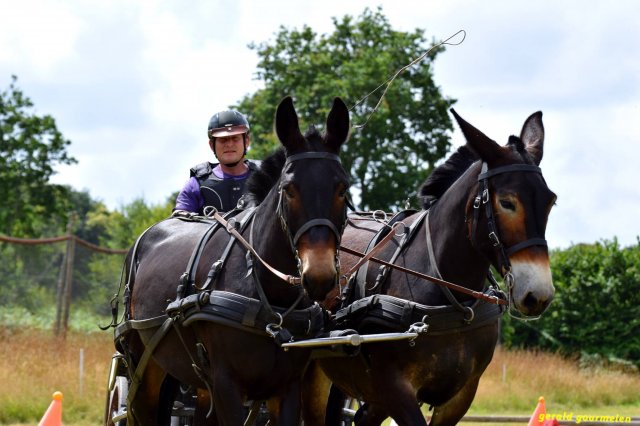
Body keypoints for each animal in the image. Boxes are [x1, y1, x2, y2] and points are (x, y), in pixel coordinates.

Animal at [115, 96, 351, 425]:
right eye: (289, 189)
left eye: (342, 188)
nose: (319, 275)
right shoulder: (226, 385)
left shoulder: (287, 387)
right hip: (145, 365)